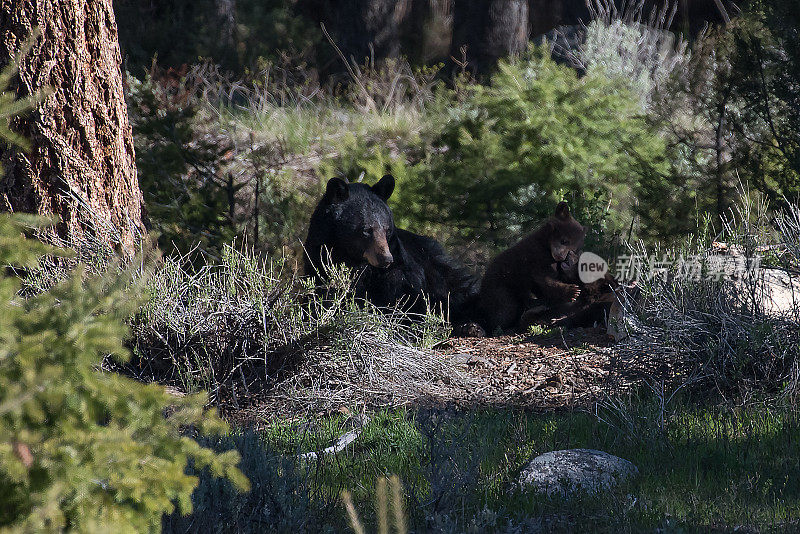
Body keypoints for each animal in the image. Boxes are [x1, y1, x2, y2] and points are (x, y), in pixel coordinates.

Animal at [304, 178, 482, 324]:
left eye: (387, 229)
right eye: (367, 230)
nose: (386, 259)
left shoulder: (402, 262)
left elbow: (405, 289)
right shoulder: (318, 261)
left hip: (436, 262)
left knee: (458, 286)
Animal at [476, 202, 588, 336]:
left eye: (573, 249)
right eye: (564, 241)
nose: (560, 256)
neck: (545, 246)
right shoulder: (535, 257)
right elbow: (544, 278)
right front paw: (572, 291)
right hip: (500, 287)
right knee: (505, 308)